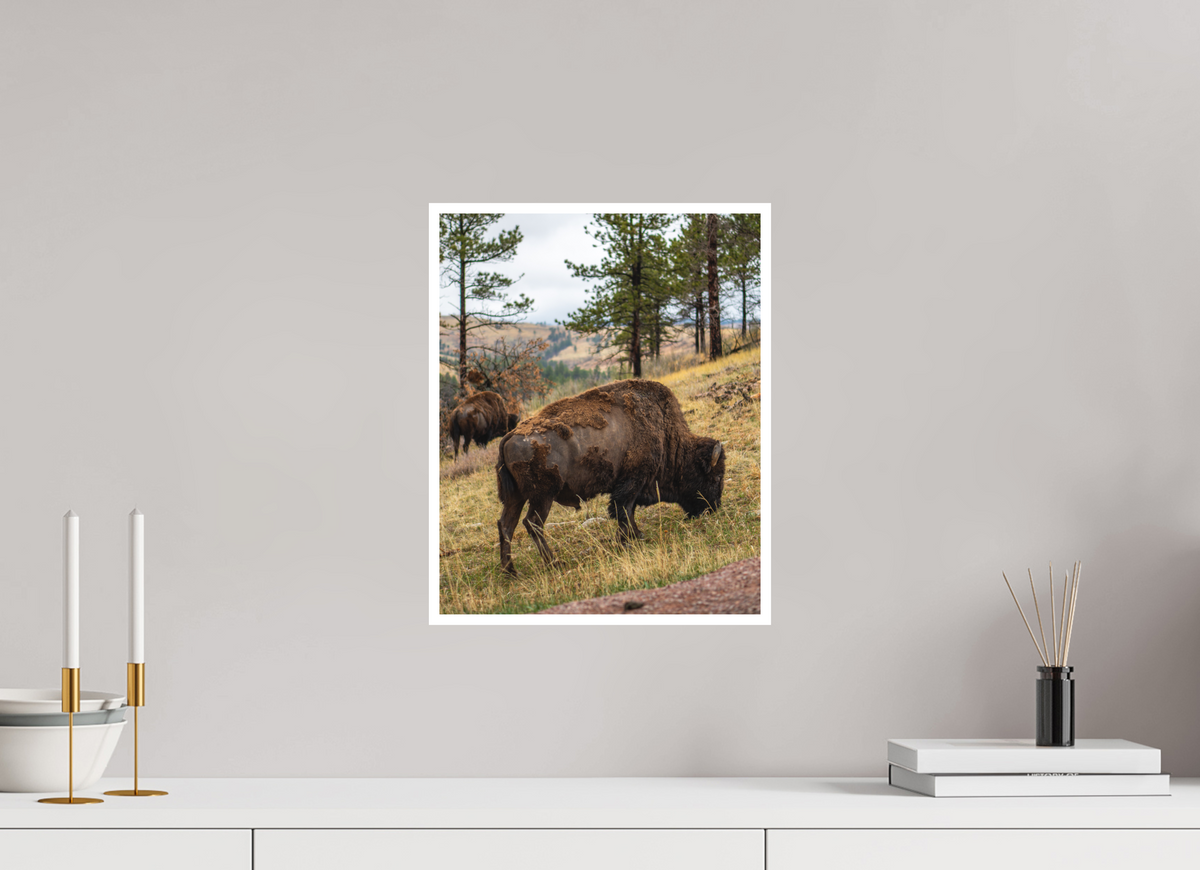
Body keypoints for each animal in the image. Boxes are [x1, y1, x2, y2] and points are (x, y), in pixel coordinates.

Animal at [495, 379, 725, 575]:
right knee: (532, 523)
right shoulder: (633, 480)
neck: (666, 433)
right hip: (543, 496)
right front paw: (630, 540)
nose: (713, 508)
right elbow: (623, 510)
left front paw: (634, 536)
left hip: (516, 497)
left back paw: (511, 571)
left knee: (506, 525)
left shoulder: (631, 484)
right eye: (714, 478)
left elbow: (627, 511)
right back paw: (554, 563)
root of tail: (510, 436)